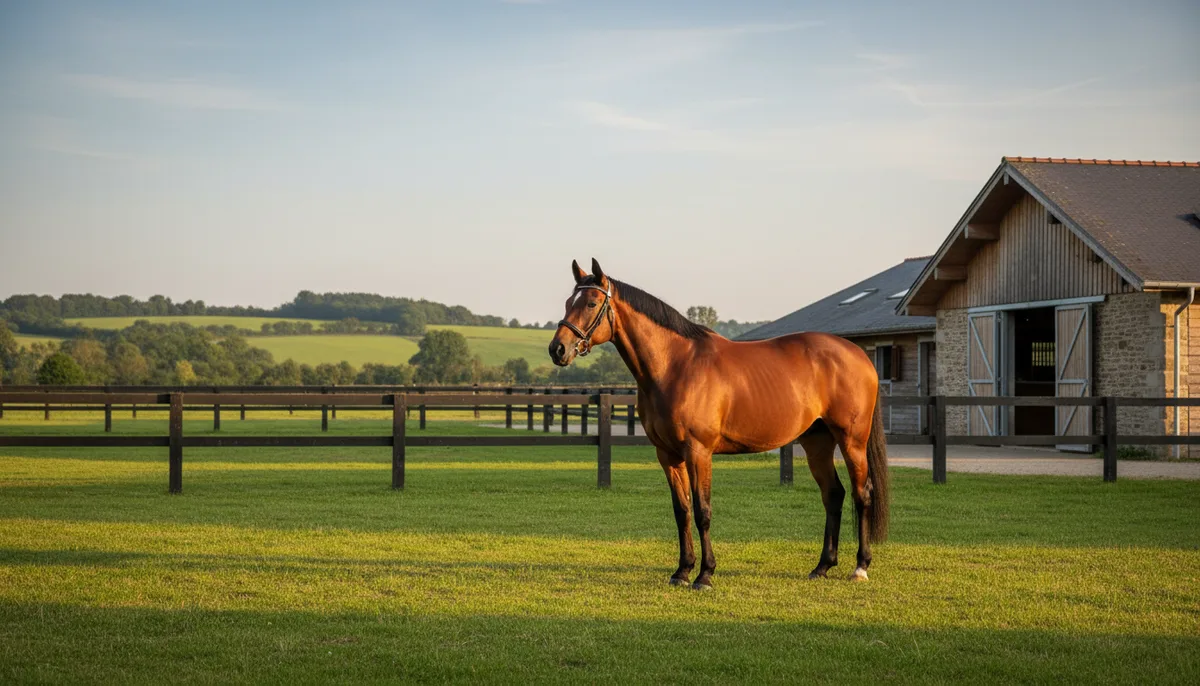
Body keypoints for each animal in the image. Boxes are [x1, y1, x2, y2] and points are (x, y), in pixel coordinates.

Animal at [549, 258, 889, 590]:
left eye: (591, 303)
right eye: (567, 302)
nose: (558, 349)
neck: (675, 365)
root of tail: (858, 355)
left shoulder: (698, 452)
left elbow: (703, 511)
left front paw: (705, 575)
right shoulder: (667, 455)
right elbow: (682, 511)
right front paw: (682, 571)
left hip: (852, 441)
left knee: (862, 494)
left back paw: (860, 567)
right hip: (817, 442)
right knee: (833, 494)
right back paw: (822, 567)